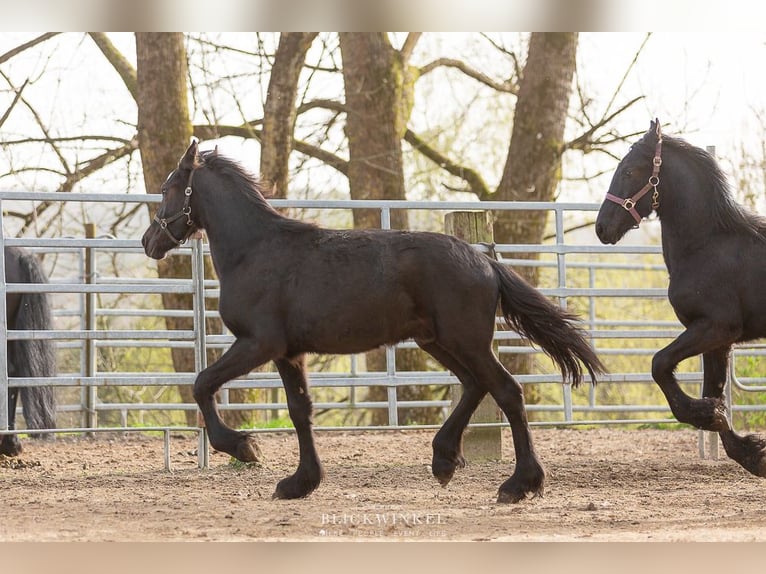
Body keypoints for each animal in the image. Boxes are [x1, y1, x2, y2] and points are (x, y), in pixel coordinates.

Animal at [142, 140, 604, 502]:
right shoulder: (290, 353)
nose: (149, 242)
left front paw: (243, 447)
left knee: (507, 391)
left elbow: (202, 384)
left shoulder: (258, 344)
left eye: (166, 188)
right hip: (436, 341)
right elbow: (300, 410)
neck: (255, 251)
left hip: (466, 341)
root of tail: (485, 262)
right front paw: (300, 482)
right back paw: (444, 460)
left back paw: (519, 484)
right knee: (475, 386)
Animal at [595, 119, 766, 478]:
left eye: (629, 171)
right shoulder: (719, 341)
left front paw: (708, 414)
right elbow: (714, 390)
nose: (602, 227)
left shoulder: (714, 328)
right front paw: (750, 452)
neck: (706, 245)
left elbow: (659, 364)